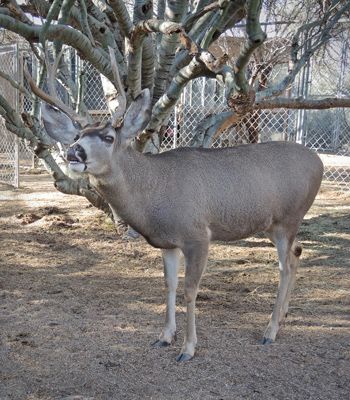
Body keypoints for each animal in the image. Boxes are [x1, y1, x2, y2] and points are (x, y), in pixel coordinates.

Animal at [42, 89, 324, 360]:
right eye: (77, 135)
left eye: (109, 137)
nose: (73, 151)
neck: (155, 193)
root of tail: (318, 161)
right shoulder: (168, 243)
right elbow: (169, 284)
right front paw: (165, 337)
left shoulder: (197, 236)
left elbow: (190, 290)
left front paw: (188, 348)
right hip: (272, 226)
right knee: (296, 253)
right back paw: (283, 316)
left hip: (289, 218)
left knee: (284, 267)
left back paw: (270, 331)